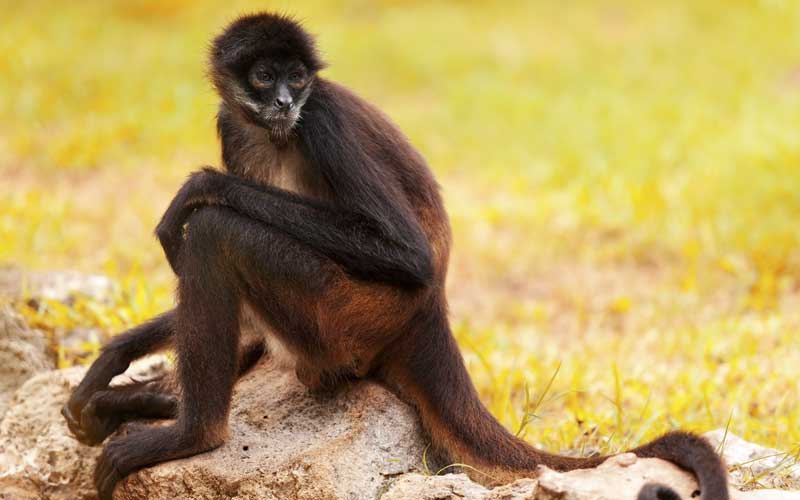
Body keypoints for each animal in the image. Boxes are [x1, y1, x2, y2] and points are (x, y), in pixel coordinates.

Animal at [61, 13, 729, 500]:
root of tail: (430, 314)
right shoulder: (233, 122)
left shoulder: (321, 118)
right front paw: (111, 362)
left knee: (216, 232)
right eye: (264, 77)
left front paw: (199, 187)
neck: (275, 132)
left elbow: (405, 253)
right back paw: (152, 402)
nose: (282, 103)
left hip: (347, 314)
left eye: (297, 78)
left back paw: (194, 431)